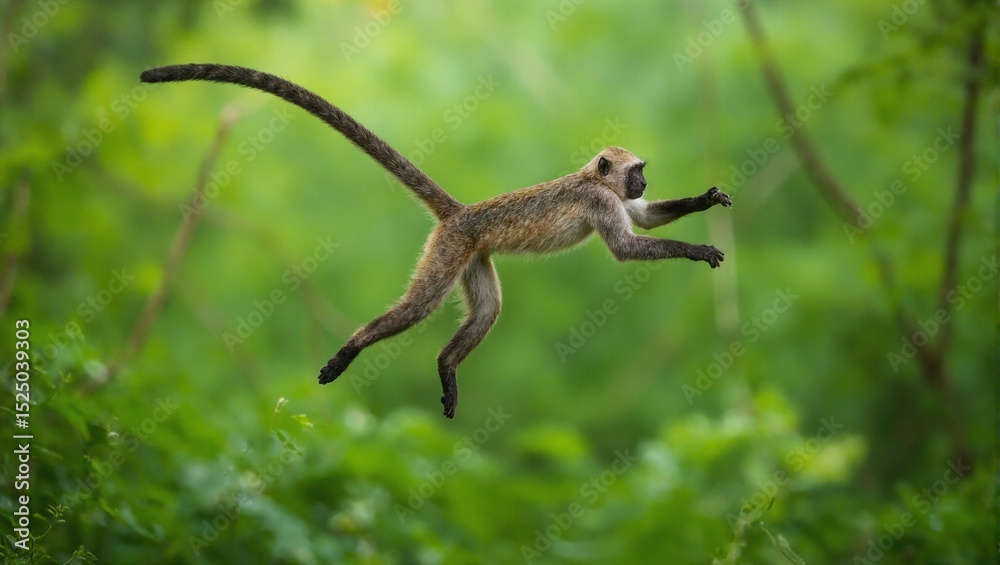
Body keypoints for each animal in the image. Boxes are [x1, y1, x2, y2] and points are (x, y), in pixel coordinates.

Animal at [140, 63, 732, 419]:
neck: (595, 179)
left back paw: (447, 367)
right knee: (420, 304)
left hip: (471, 256)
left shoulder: (616, 200)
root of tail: (461, 214)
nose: (644, 182)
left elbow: (647, 223)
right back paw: (355, 346)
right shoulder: (600, 202)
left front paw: (703, 201)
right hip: (449, 250)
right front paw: (699, 250)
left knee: (487, 309)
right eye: (639, 171)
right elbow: (628, 247)